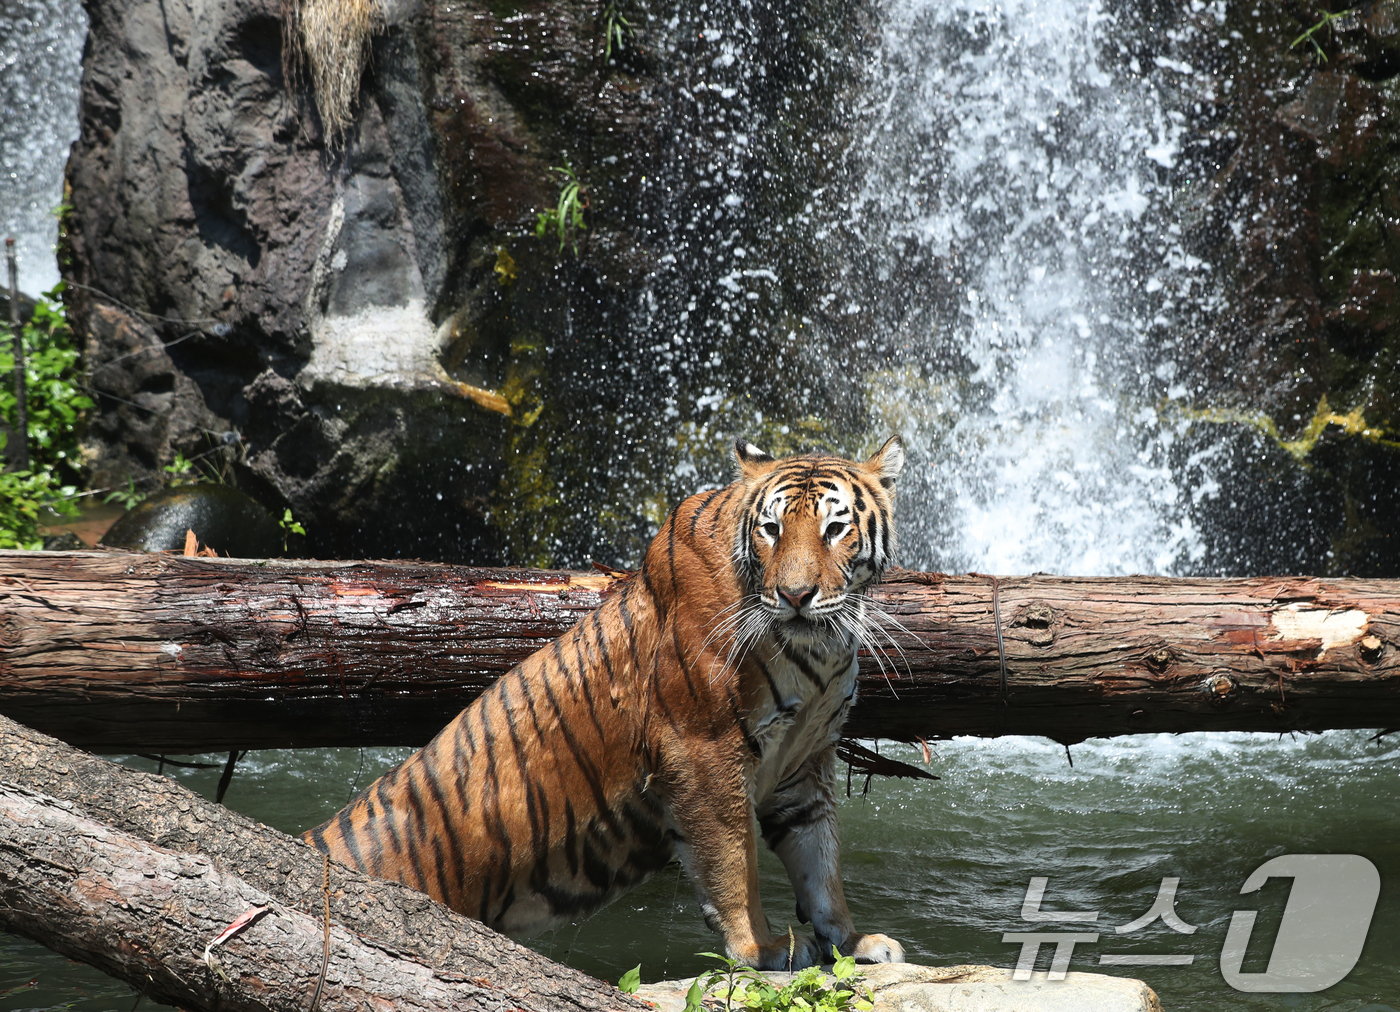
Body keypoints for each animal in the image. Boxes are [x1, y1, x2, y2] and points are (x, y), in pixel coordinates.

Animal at [305, 436, 907, 974]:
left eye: (835, 529)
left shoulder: (804, 764)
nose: (795, 596)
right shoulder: (703, 750)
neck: (820, 650)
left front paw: (852, 941)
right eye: (772, 529)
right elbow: (734, 861)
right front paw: (761, 948)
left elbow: (821, 863)